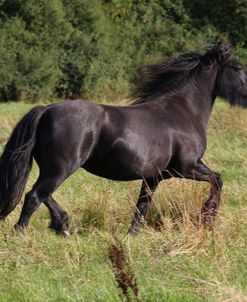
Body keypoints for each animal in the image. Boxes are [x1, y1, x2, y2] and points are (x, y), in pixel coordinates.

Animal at [0, 42, 247, 235]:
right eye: (238, 67)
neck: (184, 111)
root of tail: (46, 110)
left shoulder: (153, 177)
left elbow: (142, 206)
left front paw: (132, 235)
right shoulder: (187, 167)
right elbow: (218, 179)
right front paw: (208, 219)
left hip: (53, 169)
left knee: (44, 195)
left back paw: (64, 225)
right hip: (59, 169)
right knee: (34, 196)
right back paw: (23, 232)